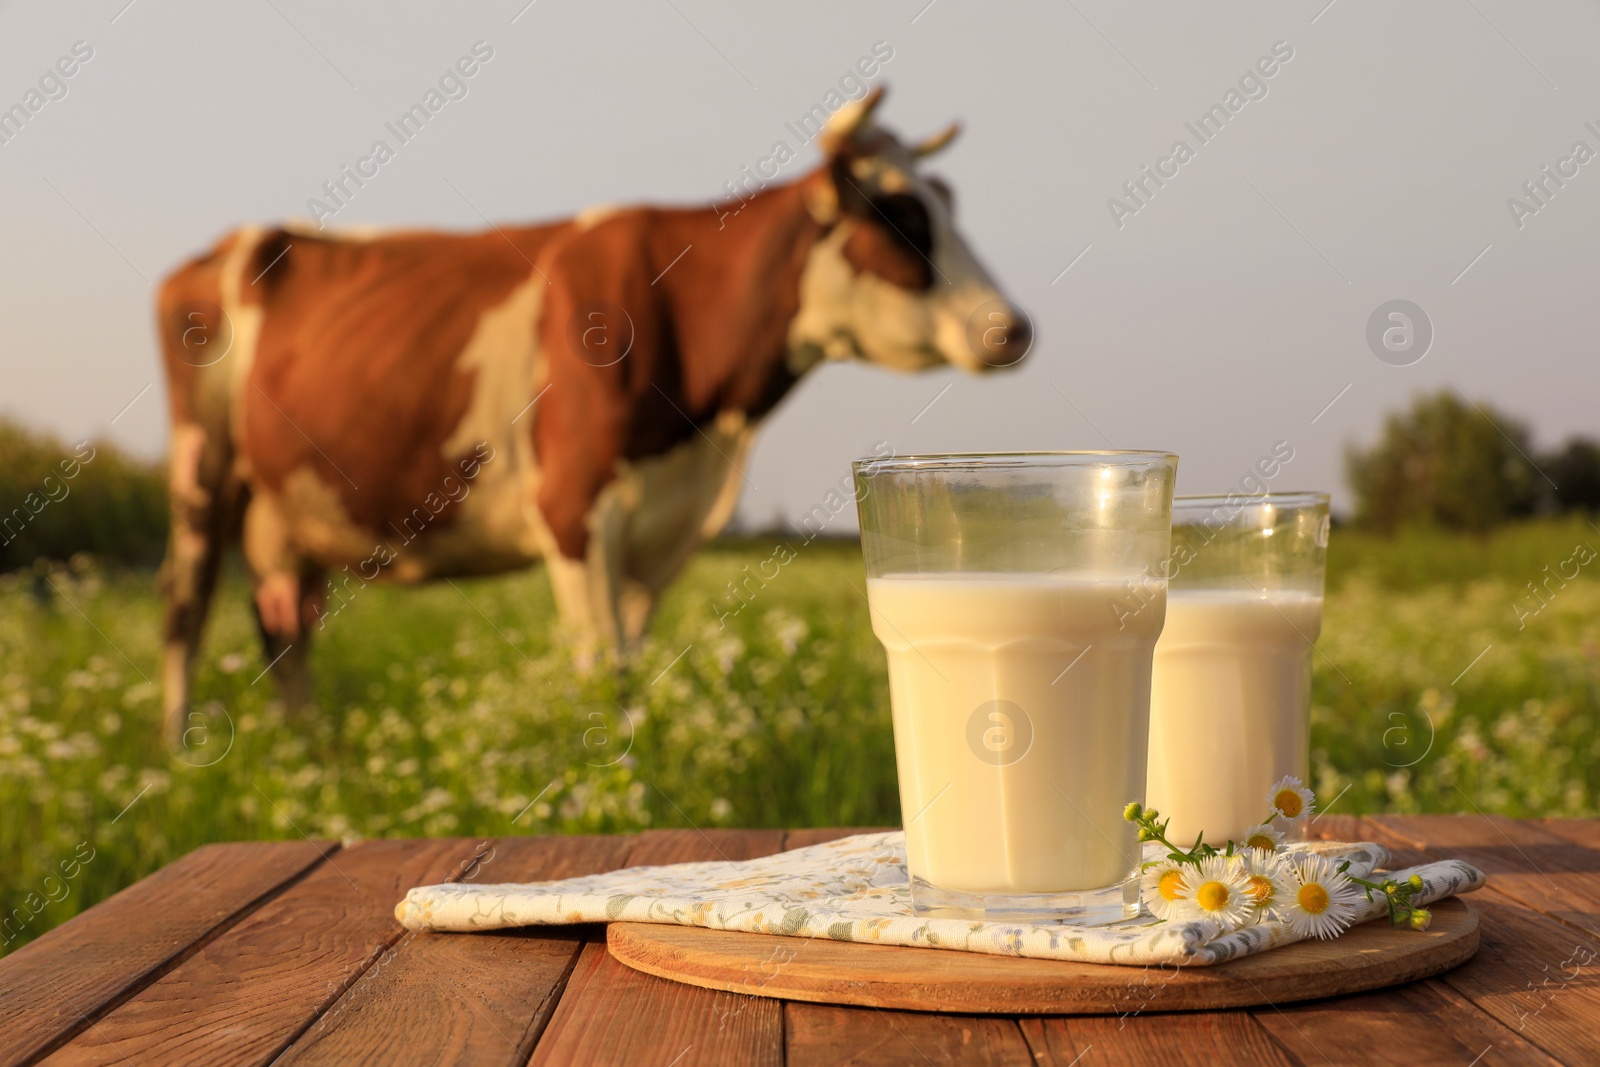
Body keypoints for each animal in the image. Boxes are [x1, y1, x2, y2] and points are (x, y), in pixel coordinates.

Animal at [156, 87, 1030, 742]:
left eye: (947, 201)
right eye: (900, 216)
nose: (1013, 327)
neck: (709, 430)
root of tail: (222, 248)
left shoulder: (660, 528)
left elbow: (631, 665)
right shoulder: (573, 508)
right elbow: (599, 671)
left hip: (286, 508)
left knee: (284, 624)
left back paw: (312, 752)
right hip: (203, 468)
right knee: (186, 609)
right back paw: (180, 760)